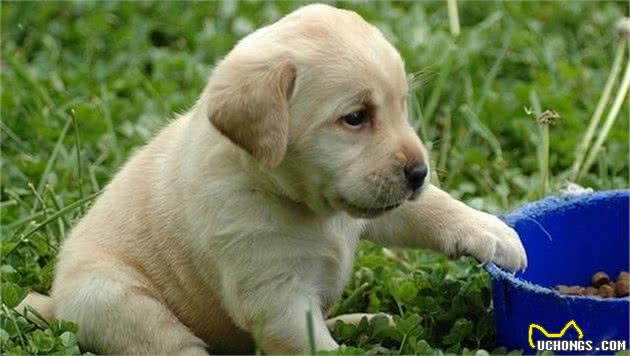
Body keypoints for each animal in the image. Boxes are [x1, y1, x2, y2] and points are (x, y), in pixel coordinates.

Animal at [18, 4, 528, 354]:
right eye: (355, 117)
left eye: (402, 106)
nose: (419, 172)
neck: (301, 203)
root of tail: (55, 303)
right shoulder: (274, 292)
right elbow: (311, 344)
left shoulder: (377, 207)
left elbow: (431, 208)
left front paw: (494, 233)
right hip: (114, 298)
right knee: (173, 344)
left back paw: (364, 321)